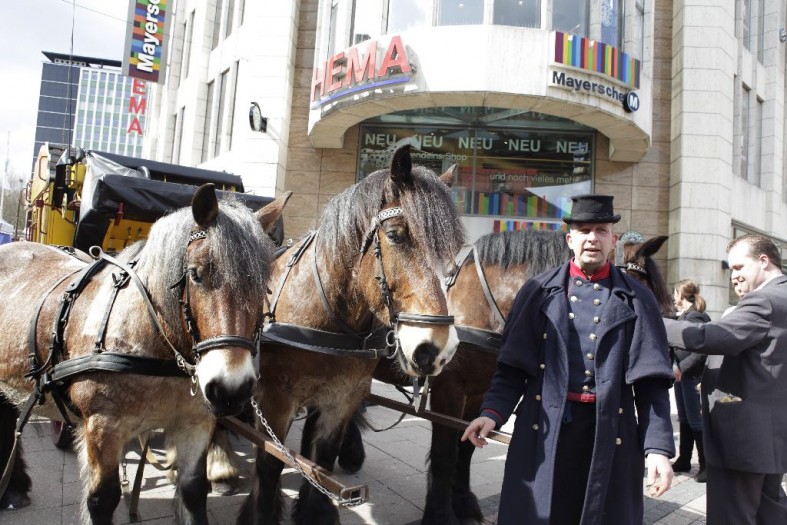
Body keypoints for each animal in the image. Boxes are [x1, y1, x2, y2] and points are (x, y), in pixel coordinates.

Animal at [0, 185, 285, 524]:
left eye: (263, 285)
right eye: (196, 274)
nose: (231, 389)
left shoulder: (195, 423)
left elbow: (194, 490)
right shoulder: (103, 428)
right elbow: (102, 500)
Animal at [236, 144, 466, 525]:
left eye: (456, 250)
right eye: (395, 235)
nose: (435, 349)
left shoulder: (342, 396)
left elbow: (321, 459)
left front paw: (314, 511)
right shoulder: (274, 398)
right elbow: (270, 461)